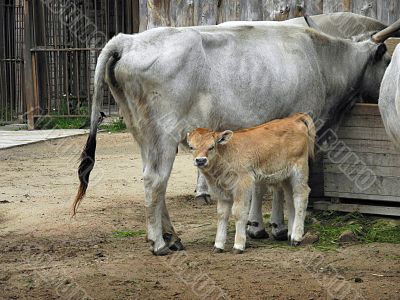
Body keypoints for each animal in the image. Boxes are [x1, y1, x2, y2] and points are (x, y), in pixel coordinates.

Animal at [188, 112, 316, 253]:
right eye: (191, 147)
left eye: (211, 146)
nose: (200, 160)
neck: (226, 153)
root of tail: (295, 118)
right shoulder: (222, 191)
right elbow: (222, 214)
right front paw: (218, 245)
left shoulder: (243, 185)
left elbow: (239, 212)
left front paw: (238, 245)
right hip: (286, 177)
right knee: (290, 199)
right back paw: (290, 234)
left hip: (299, 171)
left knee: (301, 196)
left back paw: (296, 237)